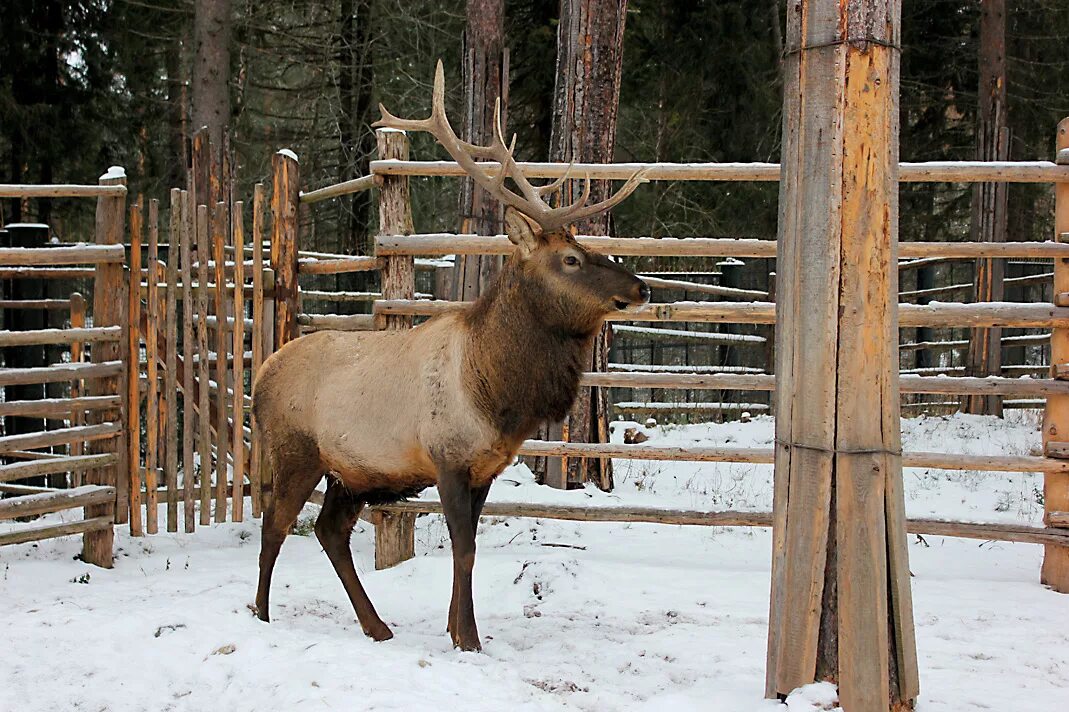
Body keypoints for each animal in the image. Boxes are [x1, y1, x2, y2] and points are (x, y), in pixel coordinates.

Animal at [252, 60, 649, 649]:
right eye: (572, 259)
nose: (641, 287)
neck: (496, 393)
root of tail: (259, 379)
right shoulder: (447, 457)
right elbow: (465, 550)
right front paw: (469, 639)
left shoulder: (486, 467)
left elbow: (469, 549)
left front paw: (455, 627)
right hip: (295, 450)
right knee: (274, 525)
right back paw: (260, 615)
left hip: (352, 470)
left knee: (329, 530)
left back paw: (377, 626)